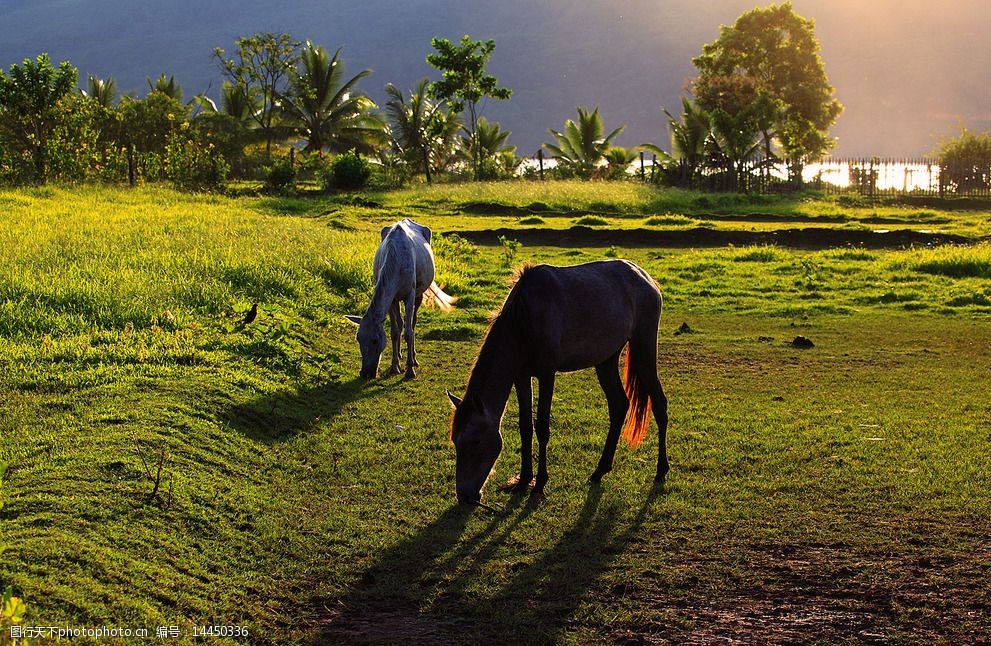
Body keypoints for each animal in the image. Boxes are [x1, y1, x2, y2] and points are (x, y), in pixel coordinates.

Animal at [346, 219, 456, 380]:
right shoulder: (392, 299)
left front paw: (410, 370)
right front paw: (394, 366)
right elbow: (395, 331)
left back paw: (414, 359)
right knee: (400, 323)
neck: (396, 261)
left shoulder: (410, 295)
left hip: (418, 294)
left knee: (413, 322)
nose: (366, 373)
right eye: (358, 338)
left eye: (375, 340)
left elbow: (408, 332)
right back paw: (398, 356)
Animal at [448, 260, 668, 506]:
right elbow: (525, 427)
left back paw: (661, 471)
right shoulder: (521, 376)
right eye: (455, 440)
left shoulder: (547, 374)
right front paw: (523, 481)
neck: (524, 318)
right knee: (619, 405)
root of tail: (645, 277)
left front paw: (539, 484)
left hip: (643, 347)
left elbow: (542, 427)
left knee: (659, 404)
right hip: (606, 360)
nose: (464, 495)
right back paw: (599, 471)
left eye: (475, 441)